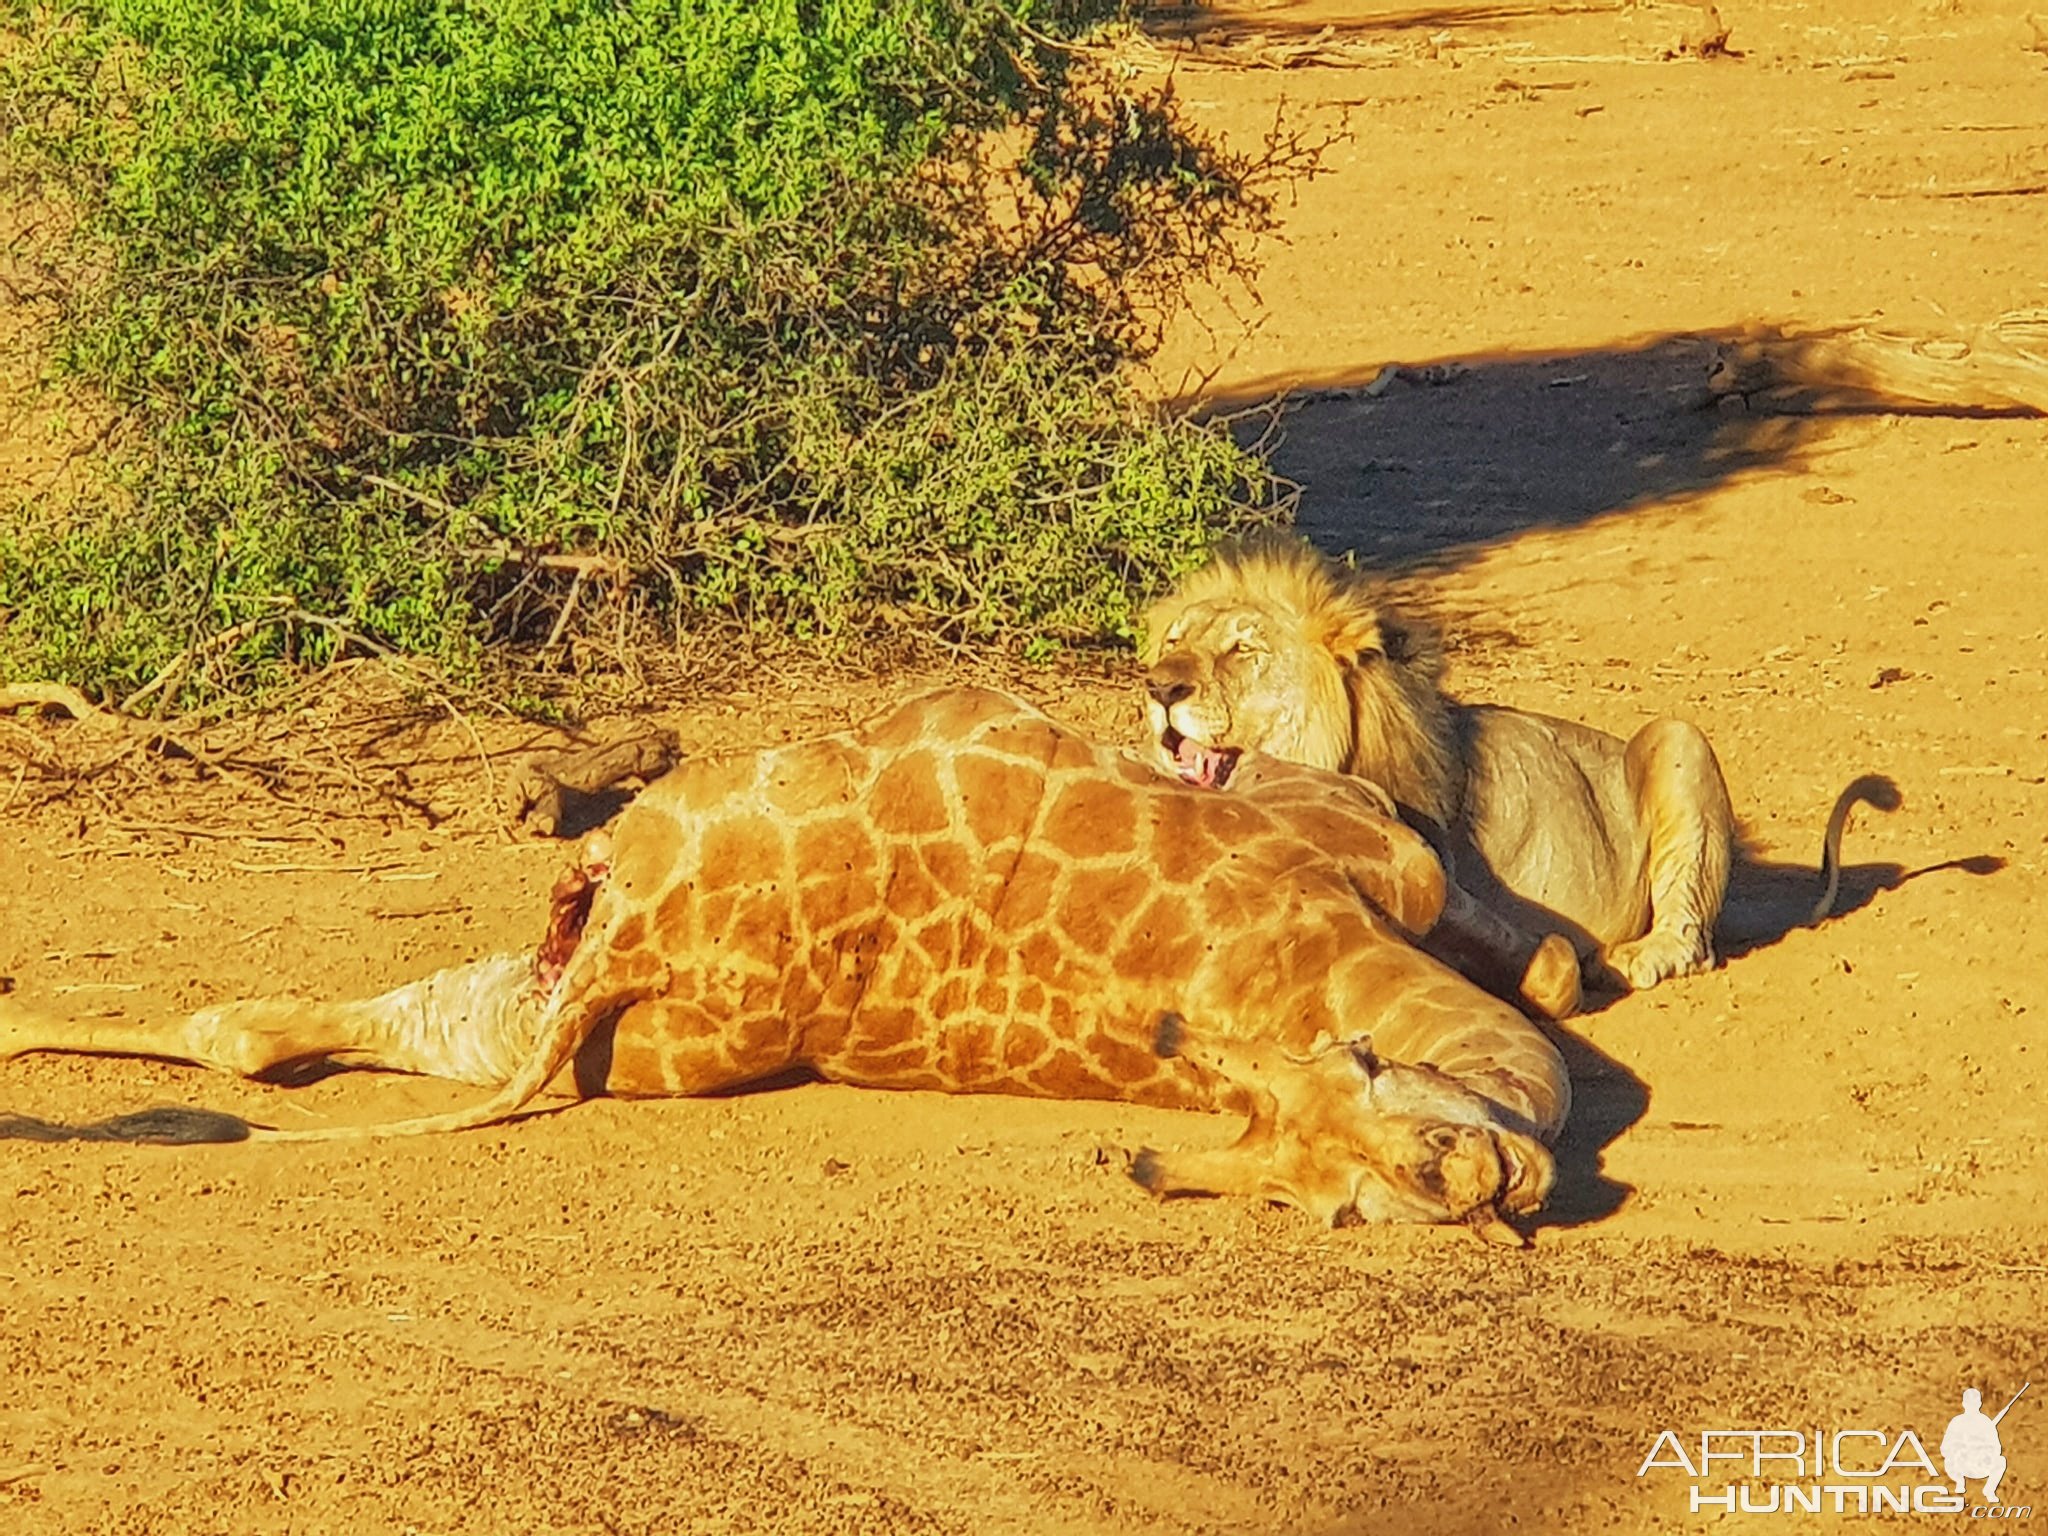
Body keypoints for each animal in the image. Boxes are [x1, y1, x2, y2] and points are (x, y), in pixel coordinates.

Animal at [1146, 540, 1892, 991]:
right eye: (1173, 642)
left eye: (1242, 650)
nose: (1157, 687)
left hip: (1678, 738)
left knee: (1693, 938)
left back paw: (1631, 958)